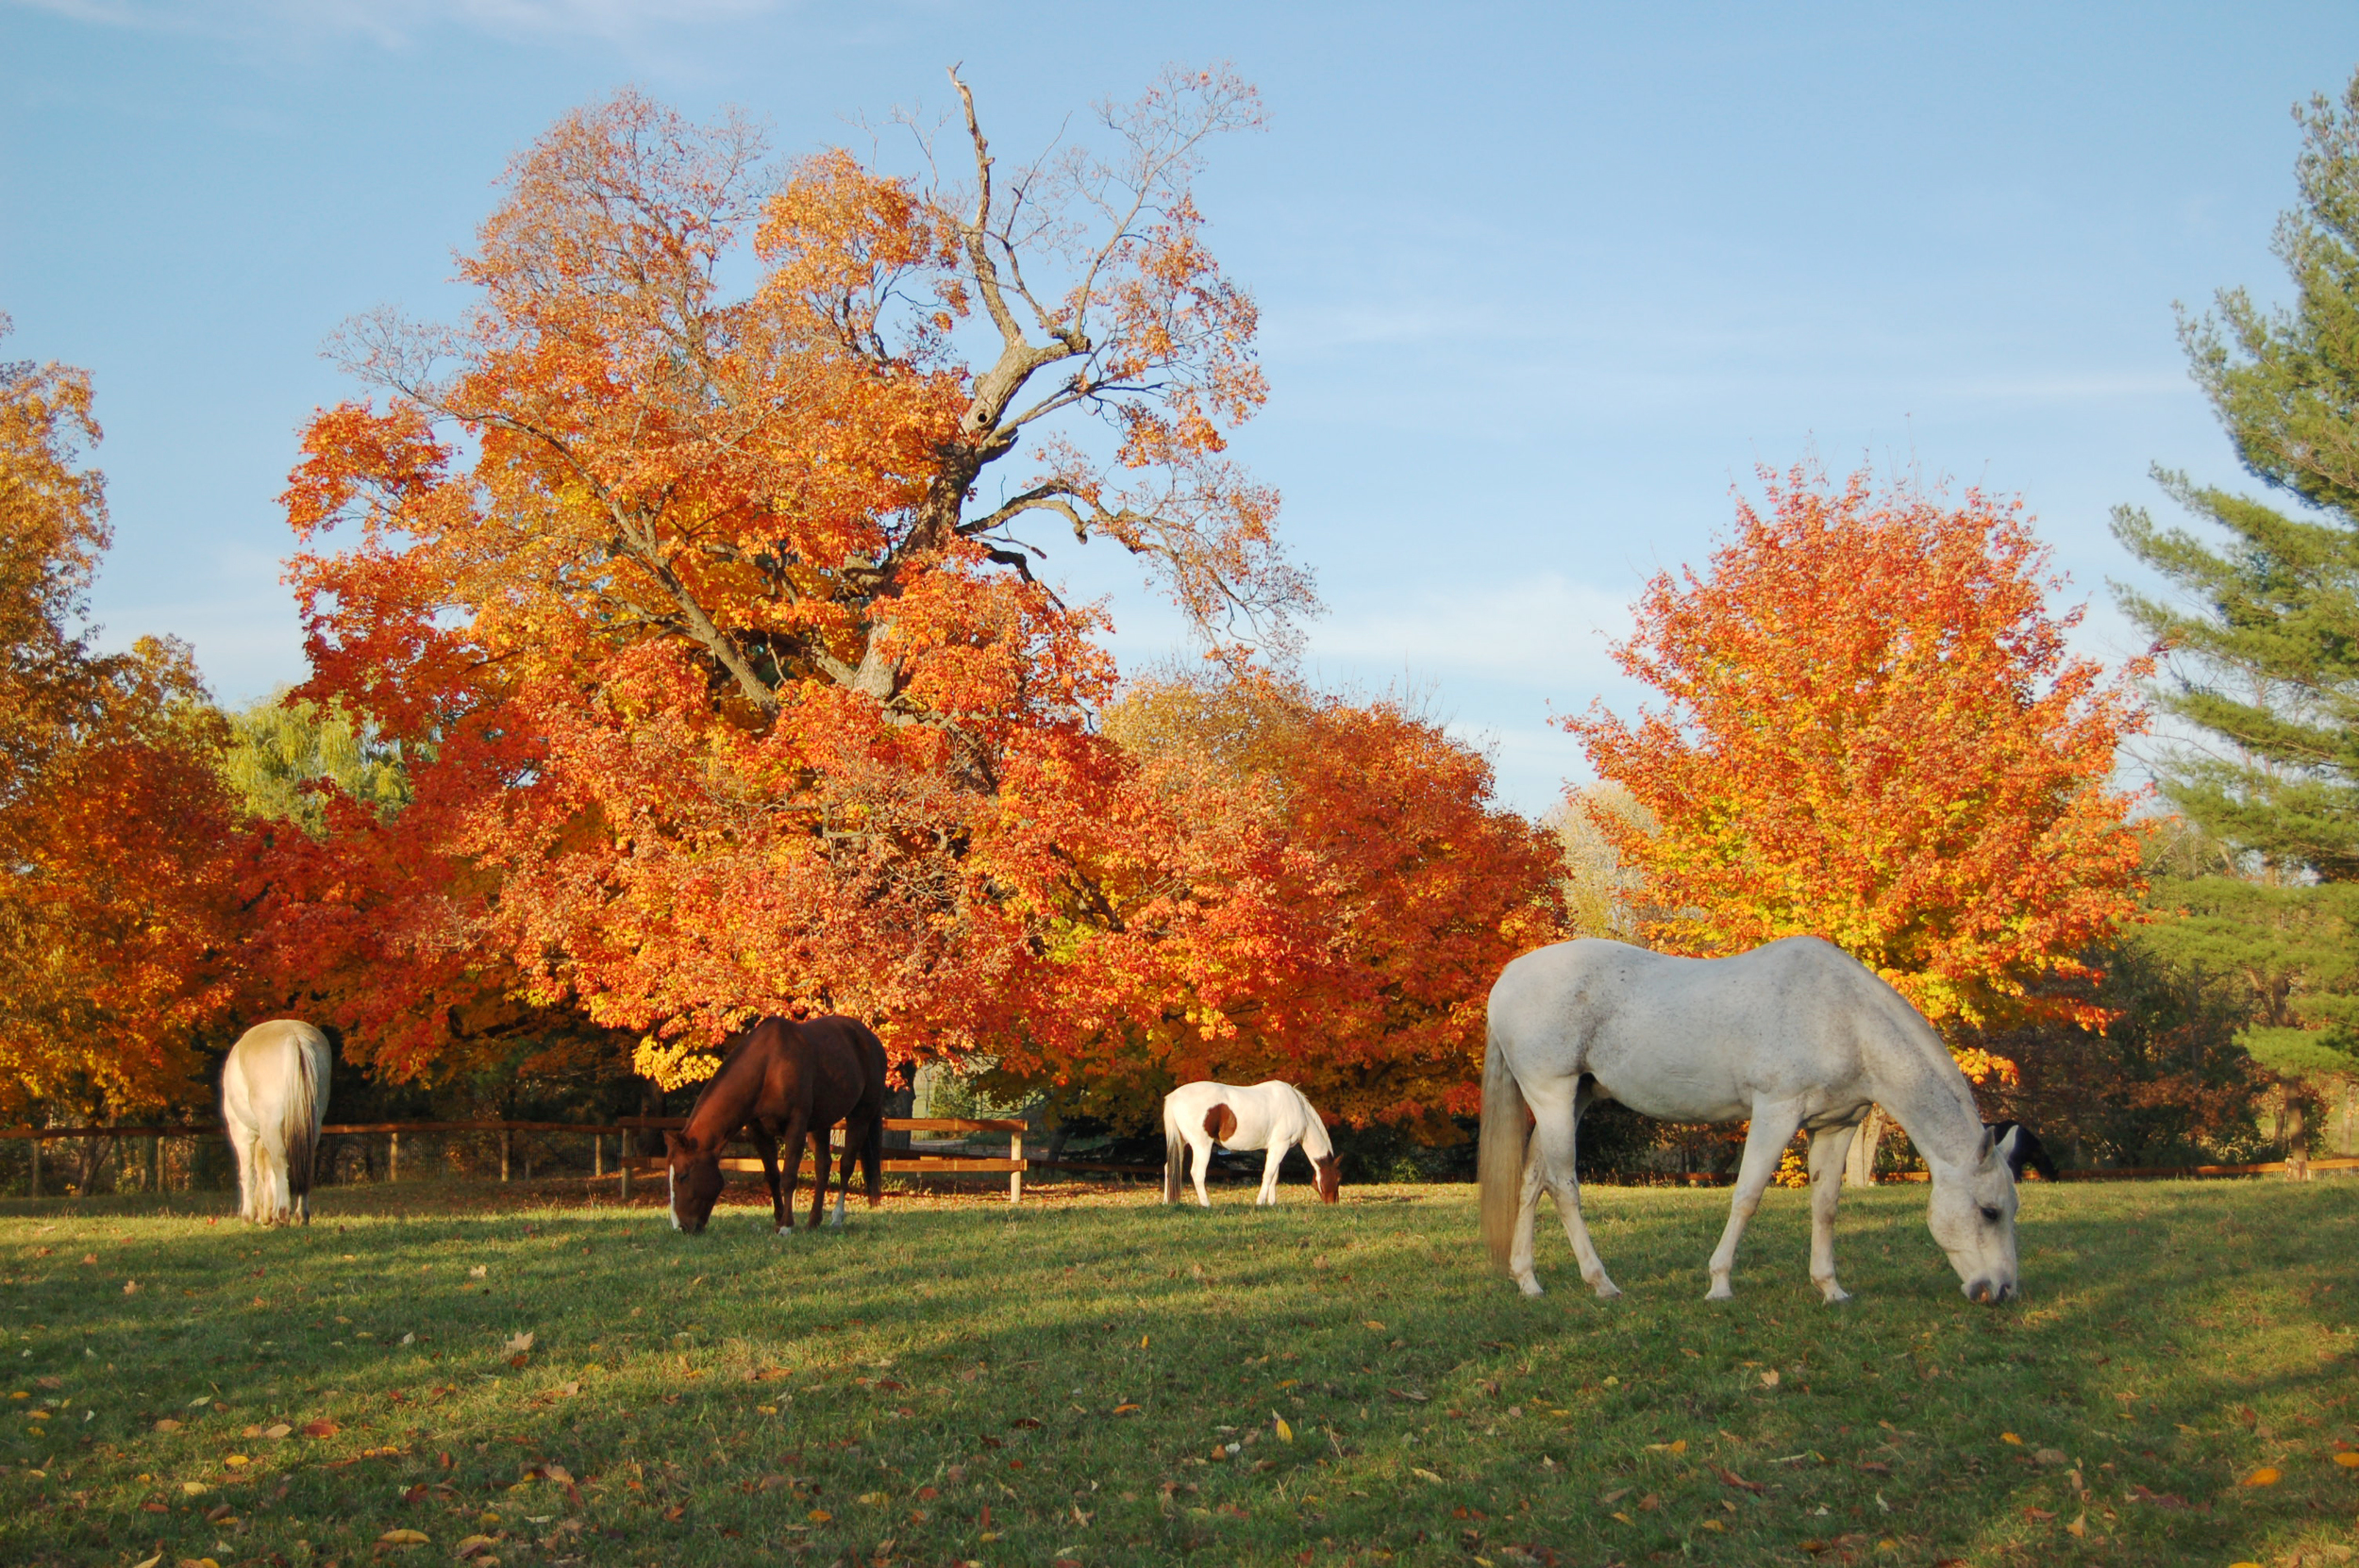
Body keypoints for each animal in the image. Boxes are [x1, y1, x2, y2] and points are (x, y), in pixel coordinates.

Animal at [221, 1020, 332, 1226]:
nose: (263, 1217)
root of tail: (295, 1037)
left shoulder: (242, 1132)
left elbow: (249, 1173)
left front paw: (248, 1216)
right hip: (312, 1126)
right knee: (304, 1164)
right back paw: (301, 1215)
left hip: (269, 1126)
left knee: (280, 1160)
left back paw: (282, 1214)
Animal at [663, 1016, 887, 1235]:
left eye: (683, 1176)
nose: (681, 1227)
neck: (768, 1069)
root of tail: (872, 1040)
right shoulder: (758, 1132)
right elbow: (772, 1175)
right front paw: (779, 1221)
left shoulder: (795, 1127)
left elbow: (788, 1176)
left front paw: (786, 1226)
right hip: (820, 1124)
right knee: (823, 1166)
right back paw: (813, 1222)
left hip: (860, 1117)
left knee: (846, 1165)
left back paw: (837, 1219)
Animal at [1161, 1081, 1342, 1207]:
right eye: (1338, 1178)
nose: (1333, 1203)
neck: (1297, 1108)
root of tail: (1174, 1096)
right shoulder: (1280, 1145)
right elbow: (1268, 1174)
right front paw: (1260, 1202)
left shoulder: (1274, 1147)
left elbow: (1274, 1175)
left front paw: (1272, 1203)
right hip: (1201, 1145)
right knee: (1197, 1173)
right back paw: (1206, 1204)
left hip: (1181, 1143)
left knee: (1169, 1168)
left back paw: (1166, 1201)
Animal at [1479, 936, 2020, 1305]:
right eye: (1989, 1211)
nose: (2002, 1291)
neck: (1843, 1016)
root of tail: (1509, 976)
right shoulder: (1776, 1112)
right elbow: (1747, 1196)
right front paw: (1719, 1284)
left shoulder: (1835, 1126)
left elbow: (1825, 1205)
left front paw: (1830, 1288)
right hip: (1552, 1095)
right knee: (1563, 1186)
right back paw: (1602, 1283)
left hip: (1574, 1099)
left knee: (1532, 1180)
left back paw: (1528, 1281)